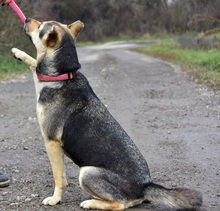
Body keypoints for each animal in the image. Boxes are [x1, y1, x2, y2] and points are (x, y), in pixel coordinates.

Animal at [10, 17, 203, 210]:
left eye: (40, 26)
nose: (27, 19)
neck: (65, 74)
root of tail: (145, 186)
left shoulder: (52, 143)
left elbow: (59, 178)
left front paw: (55, 199)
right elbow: (35, 64)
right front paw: (19, 53)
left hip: (87, 172)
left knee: (118, 204)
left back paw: (90, 202)